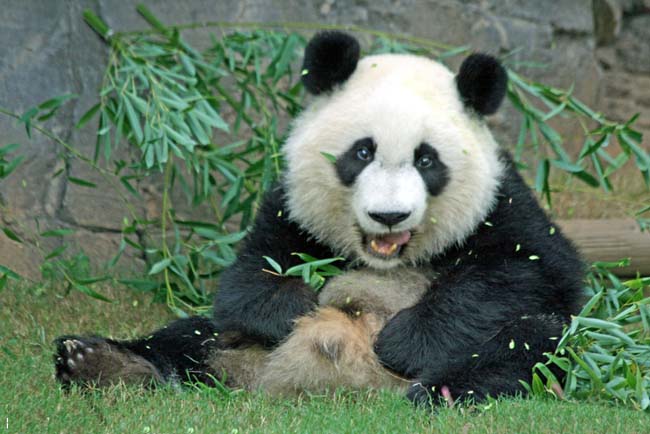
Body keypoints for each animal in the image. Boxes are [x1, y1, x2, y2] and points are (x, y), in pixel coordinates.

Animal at [54, 31, 584, 405]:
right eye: (362, 152)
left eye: (426, 160)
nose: (388, 215)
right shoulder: (289, 205)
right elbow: (247, 276)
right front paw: (292, 305)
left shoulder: (503, 202)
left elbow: (527, 273)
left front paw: (404, 341)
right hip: (224, 344)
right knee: (187, 340)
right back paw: (96, 363)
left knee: (529, 344)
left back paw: (441, 390)